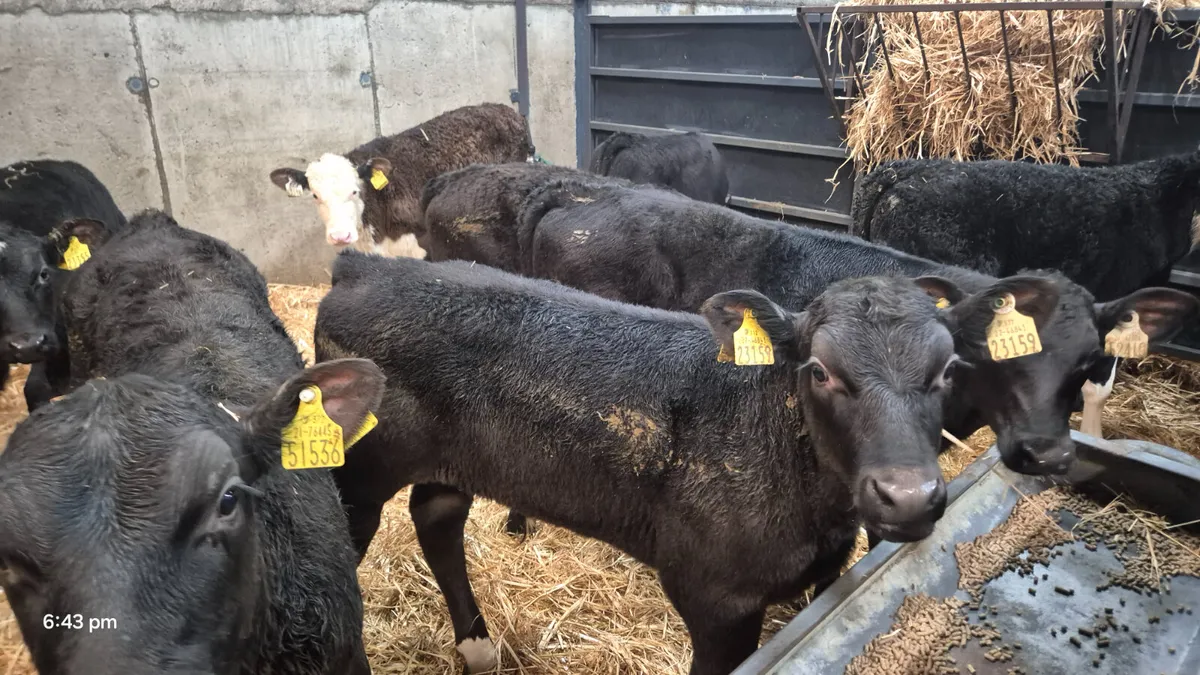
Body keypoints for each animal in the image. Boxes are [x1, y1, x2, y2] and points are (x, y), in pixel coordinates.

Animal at [316, 250, 993, 675]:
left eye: (948, 370)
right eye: (821, 370)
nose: (908, 496)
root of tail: (365, 267)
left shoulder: (828, 573)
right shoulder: (718, 597)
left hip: (452, 459)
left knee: (437, 515)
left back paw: (479, 648)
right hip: (357, 476)